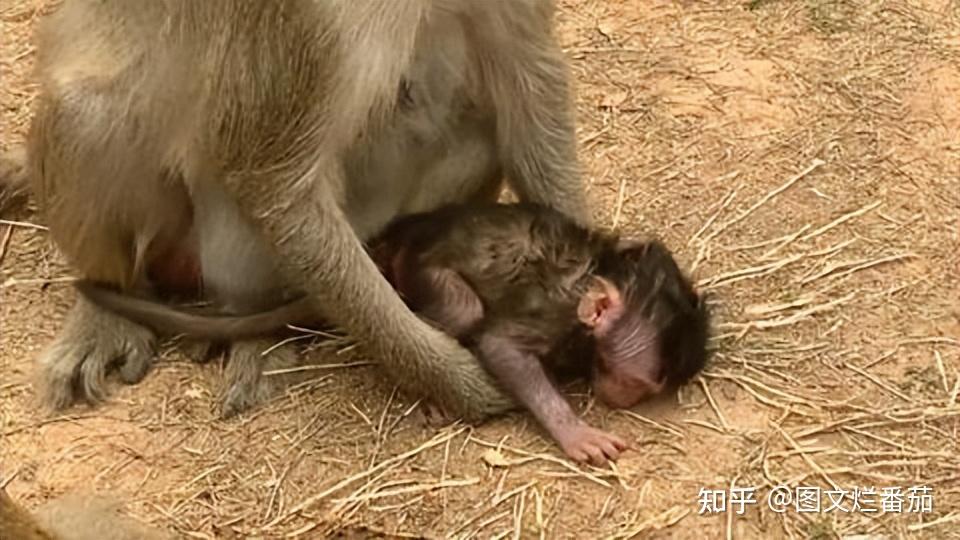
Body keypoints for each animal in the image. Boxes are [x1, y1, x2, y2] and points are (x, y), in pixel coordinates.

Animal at [26, 0, 588, 420]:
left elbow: (526, 74)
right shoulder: (296, 18)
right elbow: (273, 178)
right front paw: (454, 378)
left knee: (473, 126)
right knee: (88, 113)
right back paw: (113, 309)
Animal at [79, 205, 712, 466]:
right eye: (642, 381)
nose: (625, 397)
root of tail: (390, 246)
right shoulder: (549, 314)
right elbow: (504, 348)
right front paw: (575, 432)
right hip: (420, 272)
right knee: (458, 310)